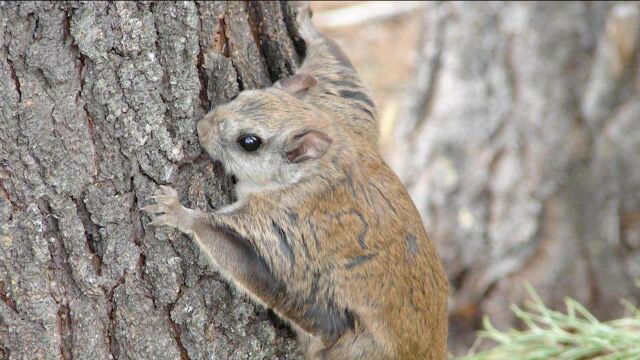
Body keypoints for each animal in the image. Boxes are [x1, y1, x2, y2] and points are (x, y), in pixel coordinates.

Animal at [143, 3, 448, 360]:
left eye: (249, 142)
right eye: (242, 94)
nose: (202, 127)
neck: (319, 165)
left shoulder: (282, 221)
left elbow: (241, 254)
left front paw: (178, 213)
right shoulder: (348, 113)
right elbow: (344, 74)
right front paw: (308, 26)